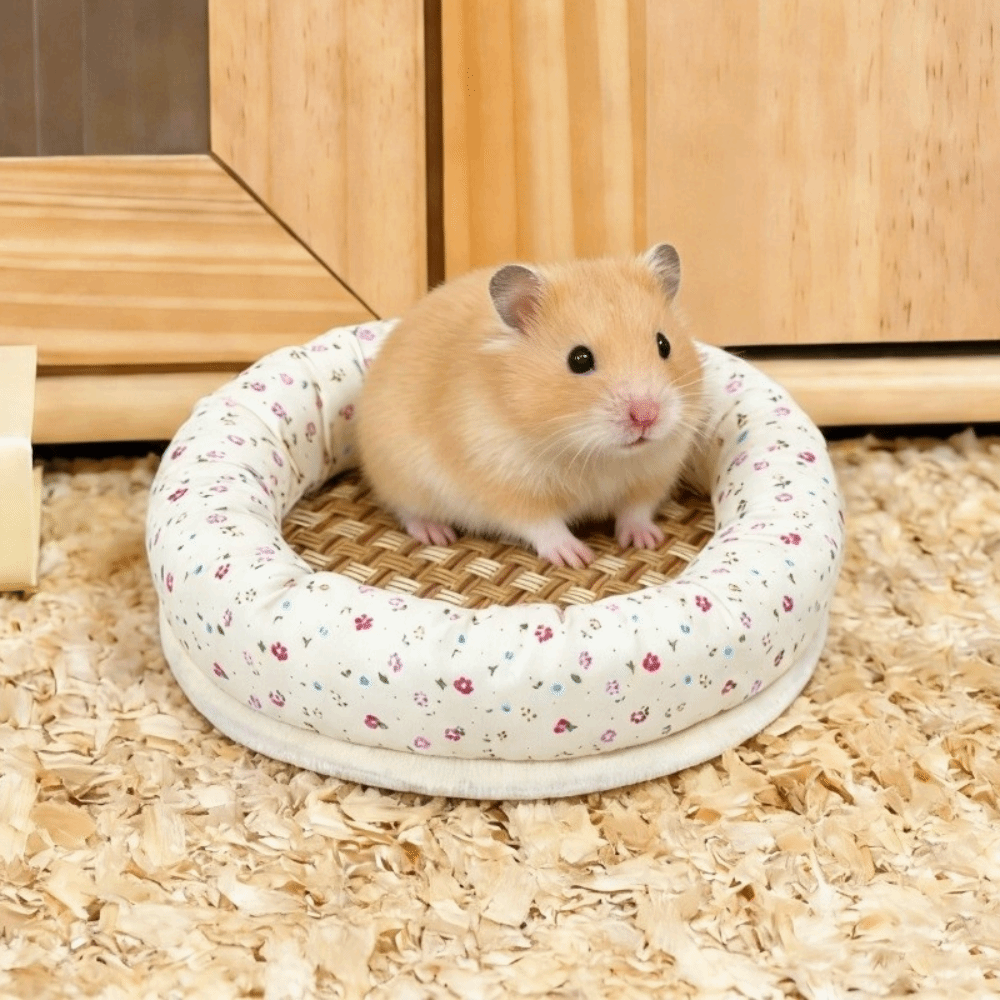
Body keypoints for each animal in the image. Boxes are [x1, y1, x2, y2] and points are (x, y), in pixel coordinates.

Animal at [356, 243, 706, 568]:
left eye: (664, 344)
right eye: (579, 359)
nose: (647, 416)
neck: (596, 453)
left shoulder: (654, 474)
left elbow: (636, 510)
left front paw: (646, 541)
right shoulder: (507, 485)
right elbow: (543, 525)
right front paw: (577, 557)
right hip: (401, 476)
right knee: (406, 510)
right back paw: (436, 534)